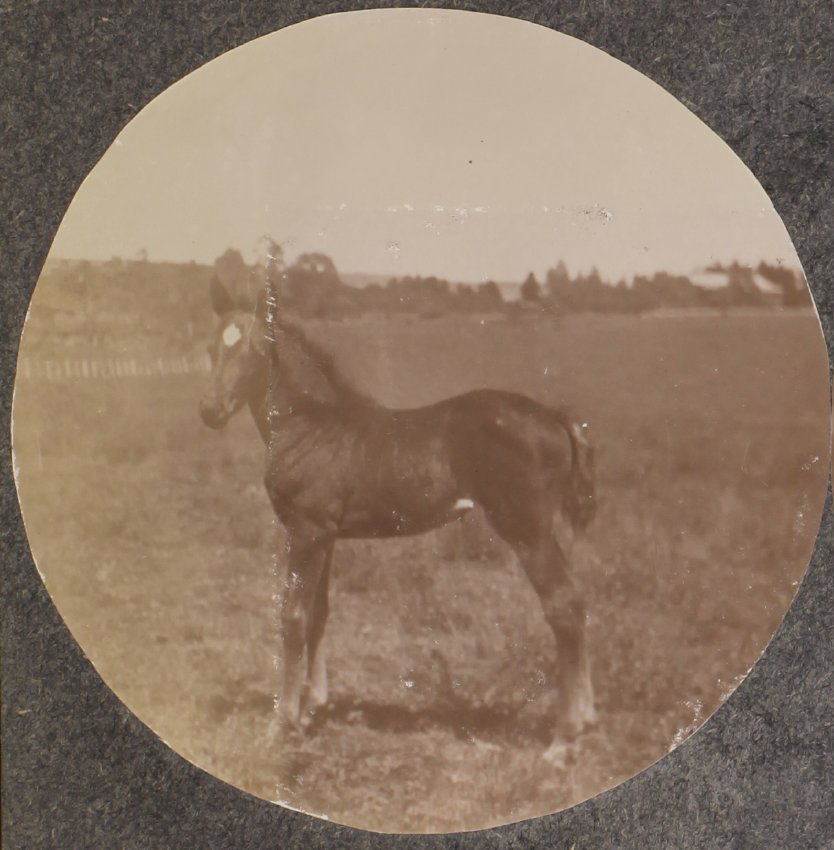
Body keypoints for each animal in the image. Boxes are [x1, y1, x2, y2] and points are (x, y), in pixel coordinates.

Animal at [199, 274, 598, 745]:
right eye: (211, 347)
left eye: (257, 350)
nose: (210, 412)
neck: (312, 424)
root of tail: (554, 417)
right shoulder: (325, 535)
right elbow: (319, 613)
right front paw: (313, 706)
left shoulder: (305, 531)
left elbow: (293, 616)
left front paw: (282, 724)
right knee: (576, 600)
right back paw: (586, 718)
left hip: (527, 531)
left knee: (563, 606)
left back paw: (564, 738)